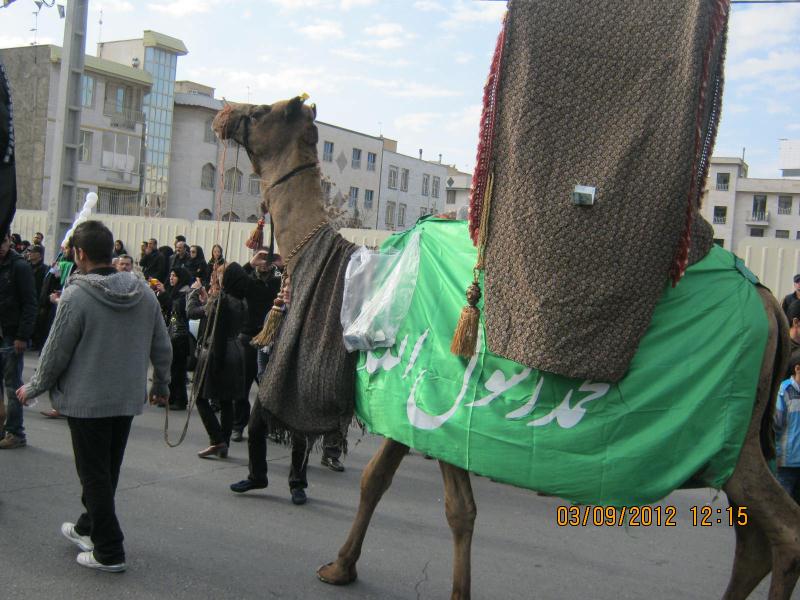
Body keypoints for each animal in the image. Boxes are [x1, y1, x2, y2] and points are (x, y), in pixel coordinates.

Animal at [211, 96, 800, 596]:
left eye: (260, 112)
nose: (224, 114)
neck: (364, 282)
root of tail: (768, 300)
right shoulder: (402, 402)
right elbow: (376, 481)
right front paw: (341, 566)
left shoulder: (436, 400)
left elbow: (459, 510)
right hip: (737, 443)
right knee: (752, 538)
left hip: (735, 437)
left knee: (784, 530)